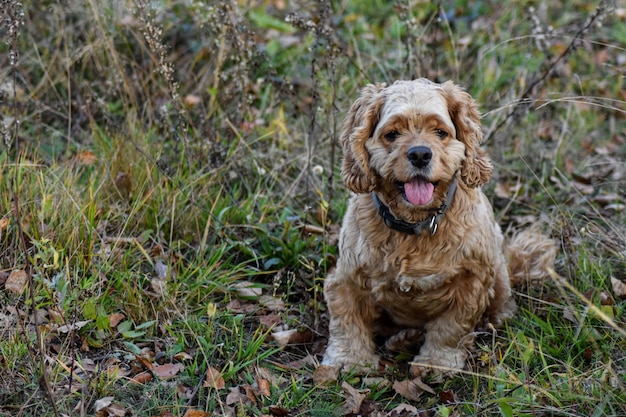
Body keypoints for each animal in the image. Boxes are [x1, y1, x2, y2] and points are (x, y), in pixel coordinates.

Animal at [322, 79, 552, 374]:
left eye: (440, 132)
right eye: (392, 134)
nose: (420, 154)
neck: (415, 225)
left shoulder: (472, 281)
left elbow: (450, 328)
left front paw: (436, 362)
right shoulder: (347, 277)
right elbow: (347, 319)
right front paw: (347, 360)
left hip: (498, 272)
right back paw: (405, 338)